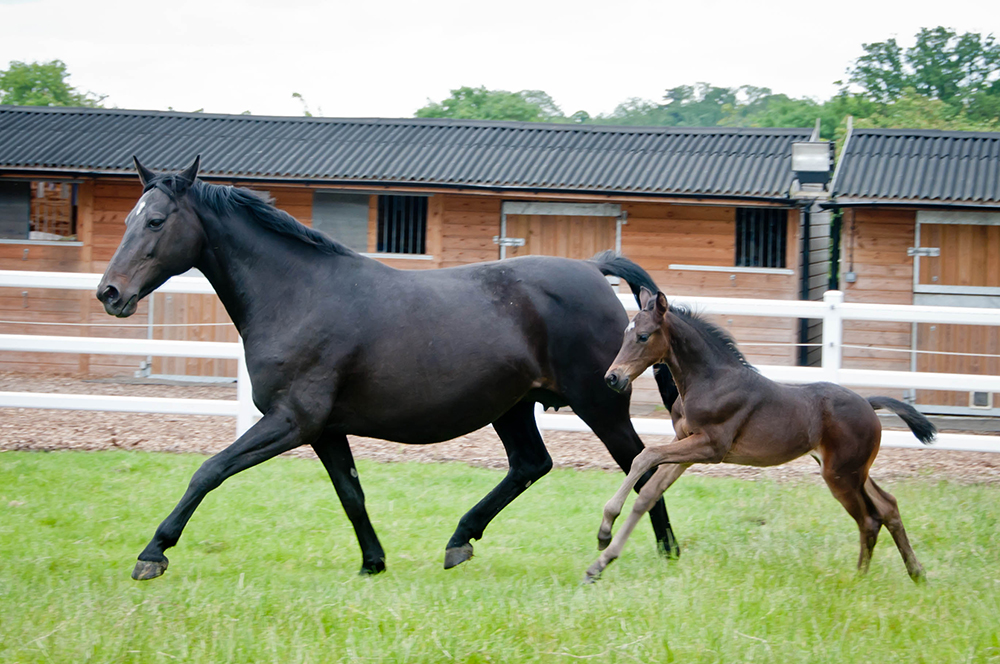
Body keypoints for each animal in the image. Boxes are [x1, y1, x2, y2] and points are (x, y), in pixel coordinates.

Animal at [96, 155, 680, 581]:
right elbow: (351, 494)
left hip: (598, 402)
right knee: (531, 465)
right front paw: (372, 562)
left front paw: (153, 552)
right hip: (512, 407)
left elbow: (209, 470)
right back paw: (459, 541)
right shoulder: (324, 430)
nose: (110, 293)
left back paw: (662, 551)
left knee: (640, 463)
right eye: (126, 219)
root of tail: (592, 268)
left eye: (155, 220)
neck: (298, 295)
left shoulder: (291, 420)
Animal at [584, 287, 936, 583]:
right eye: (626, 334)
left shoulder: (711, 448)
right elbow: (648, 493)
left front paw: (604, 530)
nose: (612, 378)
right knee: (887, 506)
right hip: (852, 470)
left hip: (841, 474)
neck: (710, 380)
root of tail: (868, 403)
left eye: (643, 336)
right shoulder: (685, 444)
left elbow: (645, 456)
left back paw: (859, 581)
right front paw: (600, 561)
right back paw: (915, 573)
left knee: (869, 519)